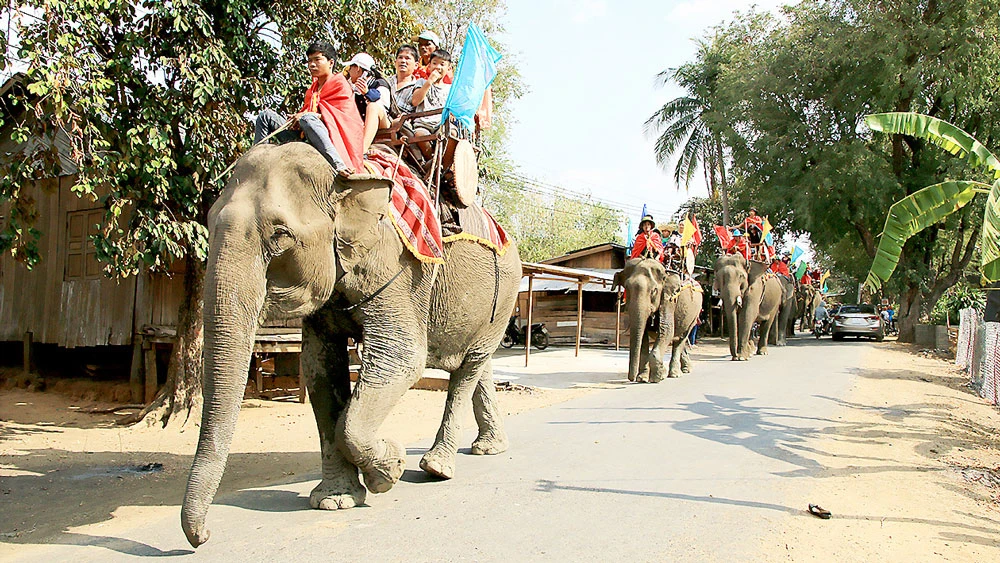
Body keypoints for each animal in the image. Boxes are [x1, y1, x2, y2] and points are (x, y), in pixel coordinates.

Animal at [182, 143, 524, 548]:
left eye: (280, 236)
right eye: (209, 222)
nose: (203, 536)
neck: (343, 177)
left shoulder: (399, 269)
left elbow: (402, 357)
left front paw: (390, 470)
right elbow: (319, 369)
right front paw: (335, 501)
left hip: (505, 294)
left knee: (467, 368)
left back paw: (436, 467)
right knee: (477, 364)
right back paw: (489, 448)